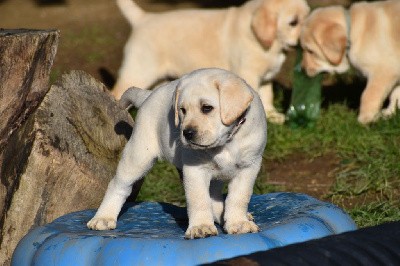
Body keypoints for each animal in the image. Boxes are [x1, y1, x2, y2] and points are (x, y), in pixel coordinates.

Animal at [88, 68, 268, 239]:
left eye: (207, 108)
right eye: (182, 110)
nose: (187, 133)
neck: (226, 143)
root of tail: (149, 95)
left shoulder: (248, 168)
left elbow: (239, 198)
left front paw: (238, 223)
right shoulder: (195, 169)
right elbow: (199, 199)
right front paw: (201, 227)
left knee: (214, 196)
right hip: (138, 157)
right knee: (118, 185)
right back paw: (103, 218)